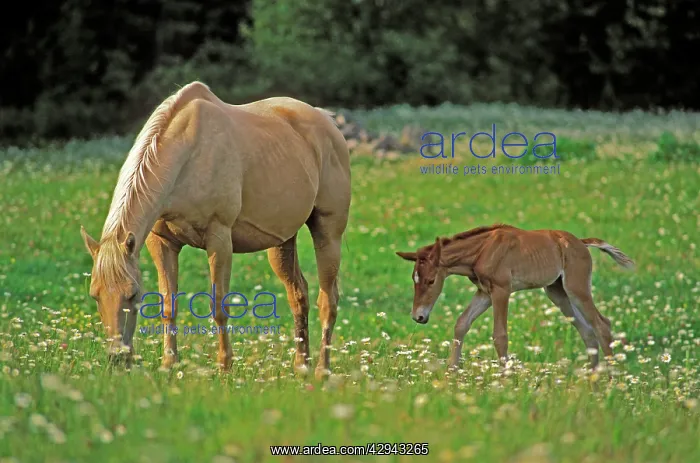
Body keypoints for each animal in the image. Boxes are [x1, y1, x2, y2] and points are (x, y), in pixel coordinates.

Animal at [80, 81, 351, 379]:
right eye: (95, 294)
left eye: (133, 294)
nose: (117, 359)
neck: (188, 154)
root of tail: (326, 121)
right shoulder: (162, 242)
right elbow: (168, 304)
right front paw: (169, 364)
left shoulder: (219, 239)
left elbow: (219, 305)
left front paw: (224, 367)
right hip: (282, 242)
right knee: (298, 295)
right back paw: (301, 366)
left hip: (328, 233)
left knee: (328, 301)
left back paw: (322, 371)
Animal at [396, 224, 634, 369]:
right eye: (414, 279)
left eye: (430, 281)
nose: (418, 316)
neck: (482, 250)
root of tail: (581, 243)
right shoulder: (485, 292)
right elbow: (461, 323)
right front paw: (451, 372)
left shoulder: (502, 290)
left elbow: (500, 335)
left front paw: (505, 380)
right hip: (557, 292)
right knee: (587, 331)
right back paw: (594, 382)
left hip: (577, 288)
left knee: (602, 324)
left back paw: (611, 381)